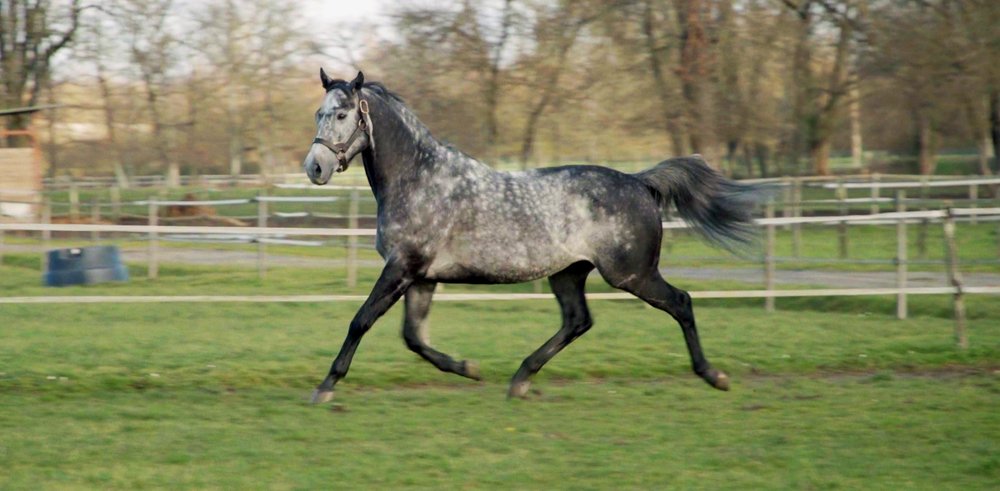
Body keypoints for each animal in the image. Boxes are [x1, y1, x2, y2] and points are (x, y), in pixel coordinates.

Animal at [302, 70, 762, 403]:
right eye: (317, 113)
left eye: (342, 114)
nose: (315, 168)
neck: (419, 179)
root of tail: (639, 182)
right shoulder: (422, 277)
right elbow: (414, 338)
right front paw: (469, 368)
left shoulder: (400, 269)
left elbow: (361, 320)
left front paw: (325, 386)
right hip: (569, 273)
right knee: (578, 321)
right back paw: (520, 379)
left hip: (632, 274)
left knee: (680, 303)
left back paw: (714, 375)